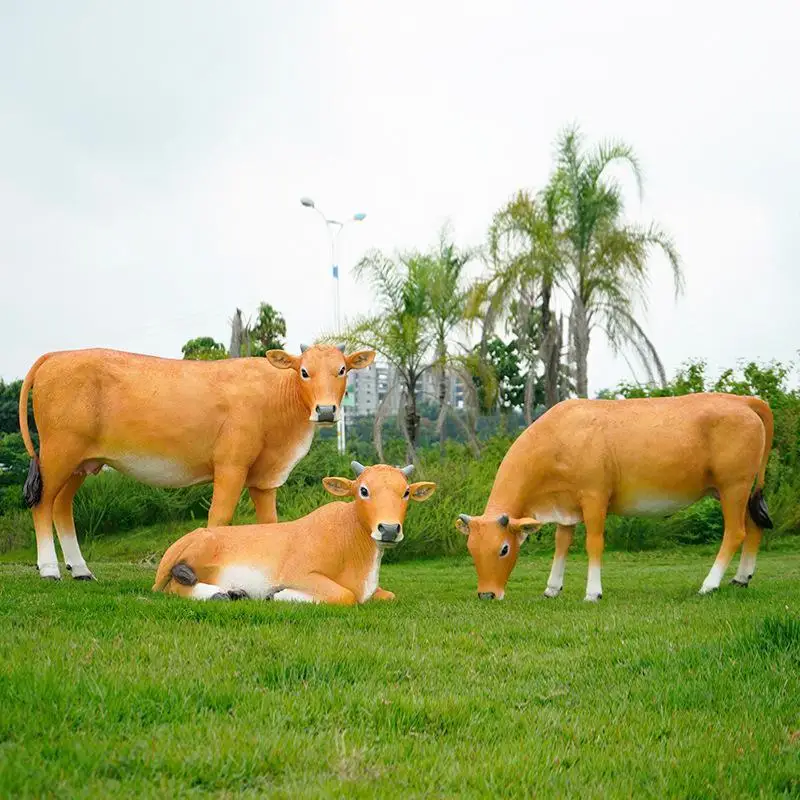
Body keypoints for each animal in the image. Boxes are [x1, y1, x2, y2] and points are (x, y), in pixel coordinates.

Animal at [18, 344, 374, 581]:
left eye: (342, 370)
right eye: (304, 371)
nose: (325, 410)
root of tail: (58, 354)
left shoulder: (264, 477)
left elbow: (270, 524)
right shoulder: (231, 465)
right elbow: (220, 517)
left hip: (82, 461)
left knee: (62, 505)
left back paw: (80, 570)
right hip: (59, 451)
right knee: (43, 504)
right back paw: (49, 569)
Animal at [152, 462, 436, 604]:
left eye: (406, 492)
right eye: (363, 490)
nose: (388, 529)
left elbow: (389, 595)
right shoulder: (299, 574)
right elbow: (345, 596)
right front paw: (276, 595)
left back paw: (234, 593)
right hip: (193, 552)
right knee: (173, 586)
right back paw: (220, 595)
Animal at [455, 393, 774, 601]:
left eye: (504, 549)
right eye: (471, 549)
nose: (486, 595)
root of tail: (742, 400)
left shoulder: (594, 496)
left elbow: (593, 543)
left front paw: (592, 592)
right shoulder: (566, 505)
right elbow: (562, 544)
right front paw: (552, 588)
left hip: (733, 486)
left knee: (735, 532)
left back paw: (709, 585)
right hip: (736, 491)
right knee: (754, 527)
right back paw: (740, 578)